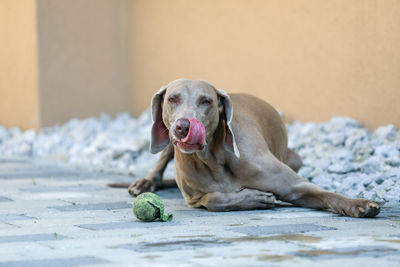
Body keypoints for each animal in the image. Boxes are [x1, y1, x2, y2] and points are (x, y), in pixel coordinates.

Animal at [110, 79, 382, 218]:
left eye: (206, 101)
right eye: (172, 99)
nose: (183, 126)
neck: (213, 158)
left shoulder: (295, 187)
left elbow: (328, 195)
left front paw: (358, 204)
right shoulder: (193, 197)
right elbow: (213, 198)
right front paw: (254, 198)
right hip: (165, 143)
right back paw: (145, 182)